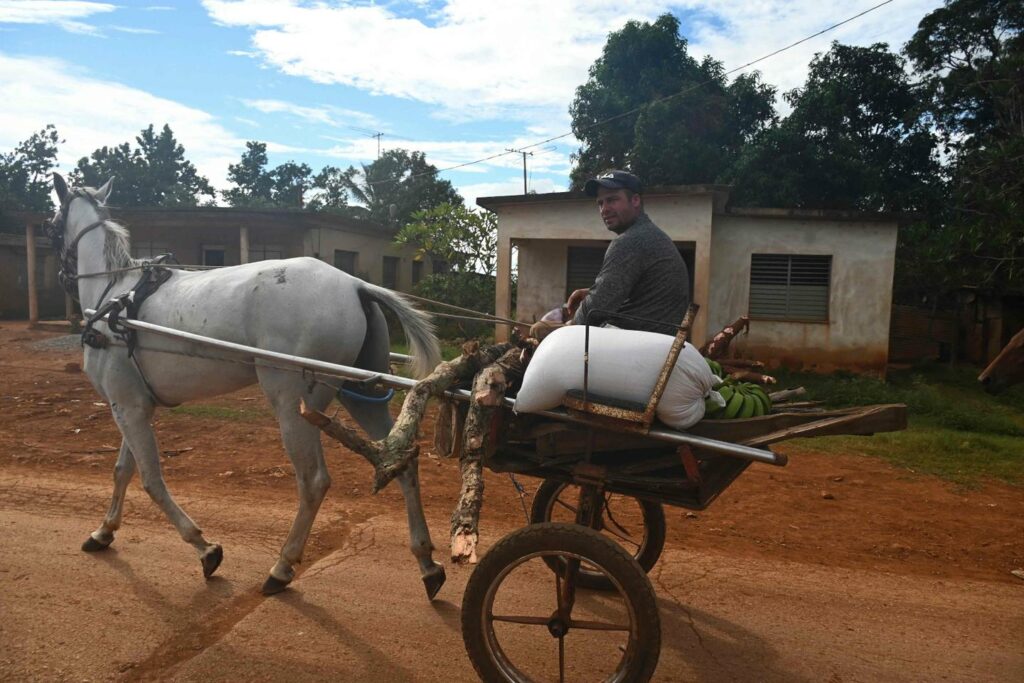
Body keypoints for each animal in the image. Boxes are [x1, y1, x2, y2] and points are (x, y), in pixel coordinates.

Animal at [48, 175, 444, 598]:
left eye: (52, 224)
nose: (61, 279)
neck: (114, 295)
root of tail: (354, 284)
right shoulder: (133, 405)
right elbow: (123, 470)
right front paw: (104, 531)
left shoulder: (127, 407)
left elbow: (151, 480)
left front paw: (205, 548)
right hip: (361, 396)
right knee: (401, 460)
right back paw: (426, 562)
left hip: (293, 403)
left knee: (313, 481)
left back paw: (282, 567)